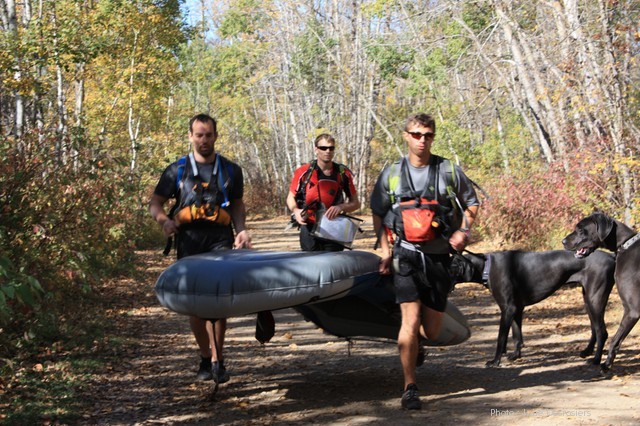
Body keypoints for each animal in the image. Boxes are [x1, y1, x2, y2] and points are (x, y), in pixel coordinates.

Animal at [450, 249, 616, 367]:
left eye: (449, 267)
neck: (486, 266)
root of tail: (611, 256)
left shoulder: (508, 309)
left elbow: (501, 338)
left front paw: (495, 361)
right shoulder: (517, 309)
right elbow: (516, 335)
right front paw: (516, 355)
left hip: (594, 299)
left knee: (602, 331)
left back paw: (596, 360)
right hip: (588, 300)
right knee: (595, 328)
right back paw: (587, 352)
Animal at [563, 212, 640, 372]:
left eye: (581, 229)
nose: (563, 241)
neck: (626, 245)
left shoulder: (632, 310)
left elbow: (615, 340)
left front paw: (606, 364)